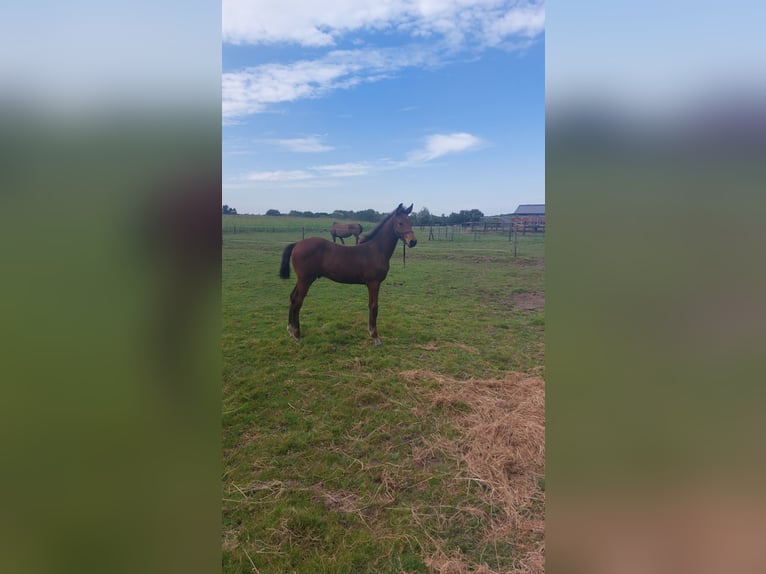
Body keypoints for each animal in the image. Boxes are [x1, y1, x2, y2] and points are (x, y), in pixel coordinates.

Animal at [280, 204, 416, 346]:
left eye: (411, 222)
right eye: (400, 223)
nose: (413, 241)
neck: (376, 250)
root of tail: (297, 244)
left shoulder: (371, 284)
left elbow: (370, 305)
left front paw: (370, 332)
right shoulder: (374, 283)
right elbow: (374, 307)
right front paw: (375, 337)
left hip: (302, 280)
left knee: (292, 298)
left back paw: (290, 330)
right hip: (305, 280)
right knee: (298, 302)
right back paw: (297, 334)